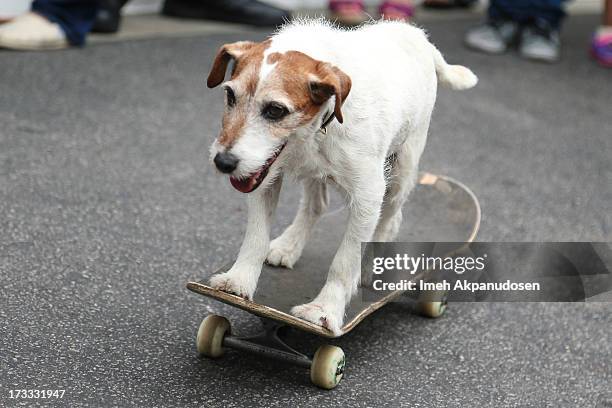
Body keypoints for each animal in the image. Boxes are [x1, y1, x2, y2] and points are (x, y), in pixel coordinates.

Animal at [206, 17, 478, 334]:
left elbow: (344, 262)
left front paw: (324, 310)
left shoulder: (368, 195)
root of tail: (419, 36)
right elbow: (256, 237)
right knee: (316, 205)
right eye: (230, 95)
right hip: (316, 175)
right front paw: (239, 280)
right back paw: (288, 245)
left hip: (404, 168)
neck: (324, 119)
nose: (224, 162)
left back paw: (373, 265)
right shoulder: (263, 174)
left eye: (275, 110)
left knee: (390, 217)